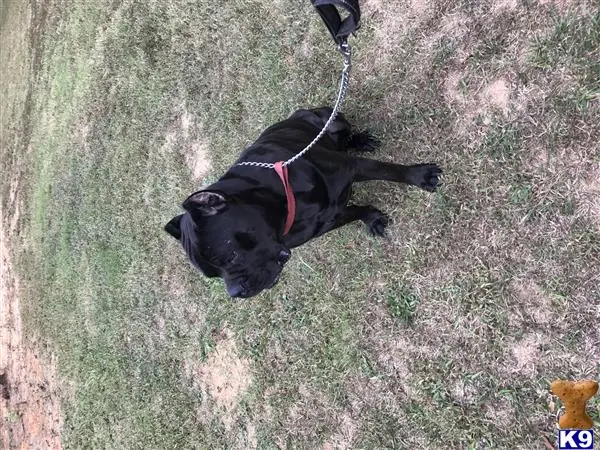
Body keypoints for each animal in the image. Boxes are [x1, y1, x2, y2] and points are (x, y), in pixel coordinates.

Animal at [164, 107, 440, 298]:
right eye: (212, 276)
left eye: (230, 256)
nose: (235, 293)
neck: (279, 203)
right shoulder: (326, 222)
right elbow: (353, 211)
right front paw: (371, 217)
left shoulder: (350, 167)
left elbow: (388, 171)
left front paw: (419, 175)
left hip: (331, 118)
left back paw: (359, 141)